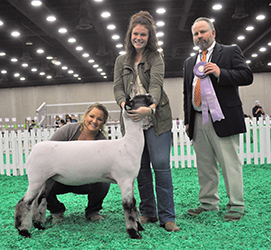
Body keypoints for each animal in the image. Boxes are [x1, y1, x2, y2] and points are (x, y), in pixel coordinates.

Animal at [14, 94, 154, 240]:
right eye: (138, 99)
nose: (150, 96)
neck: (129, 144)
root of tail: (34, 149)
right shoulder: (124, 180)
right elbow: (128, 206)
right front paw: (134, 232)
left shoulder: (131, 180)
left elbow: (134, 204)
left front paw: (140, 227)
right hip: (36, 178)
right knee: (24, 202)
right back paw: (23, 231)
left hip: (48, 179)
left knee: (40, 200)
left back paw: (39, 225)